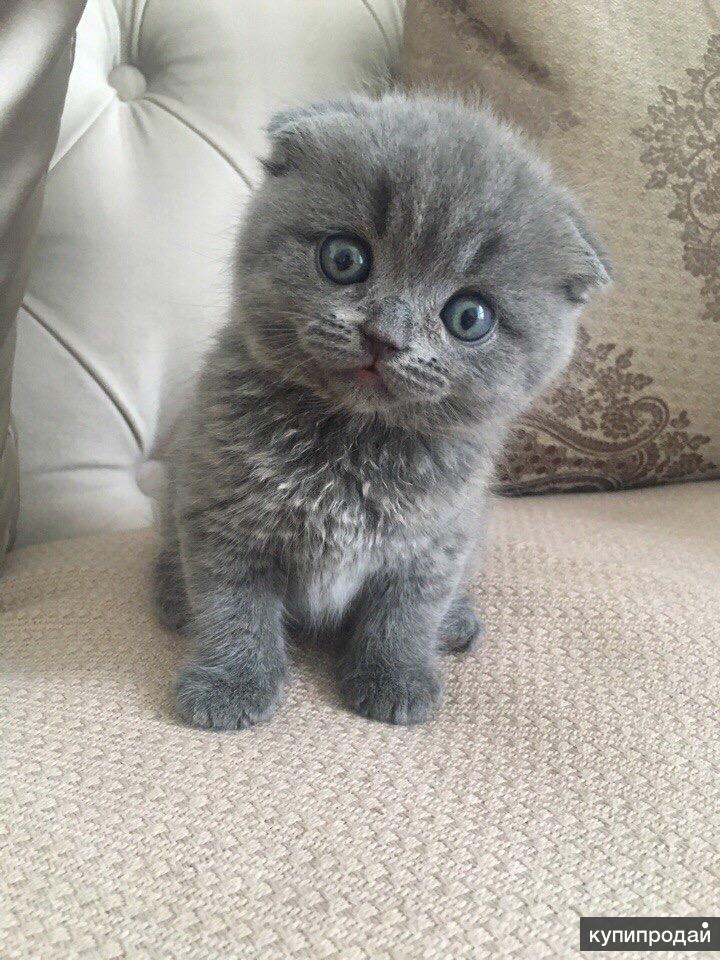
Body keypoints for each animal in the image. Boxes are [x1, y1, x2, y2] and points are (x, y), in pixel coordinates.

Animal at [155, 93, 610, 729]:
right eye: (345, 258)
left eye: (469, 316)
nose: (384, 336)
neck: (353, 440)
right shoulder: (220, 508)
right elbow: (232, 606)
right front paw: (229, 683)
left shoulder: (437, 538)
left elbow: (406, 613)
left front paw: (396, 677)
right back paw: (174, 594)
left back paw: (455, 621)